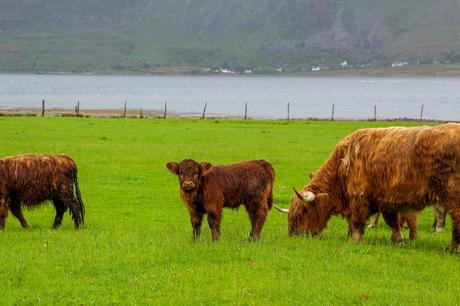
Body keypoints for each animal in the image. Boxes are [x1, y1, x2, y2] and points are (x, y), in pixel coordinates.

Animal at [274, 123, 458, 252]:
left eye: (303, 212)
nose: (293, 234)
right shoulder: (387, 200)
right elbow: (392, 222)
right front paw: (398, 240)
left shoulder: (359, 197)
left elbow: (357, 221)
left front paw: (354, 240)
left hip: (451, 196)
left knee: (455, 219)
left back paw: (452, 248)